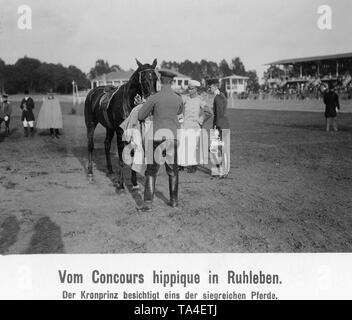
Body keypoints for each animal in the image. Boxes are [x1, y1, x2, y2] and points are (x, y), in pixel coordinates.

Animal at [84, 58, 157, 188]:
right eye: (143, 79)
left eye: (156, 78)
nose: (152, 99)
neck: (127, 103)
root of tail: (92, 93)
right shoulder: (120, 133)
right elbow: (121, 159)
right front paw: (121, 184)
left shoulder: (134, 131)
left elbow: (132, 155)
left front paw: (134, 183)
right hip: (90, 124)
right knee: (90, 145)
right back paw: (90, 173)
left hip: (109, 127)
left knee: (107, 144)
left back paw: (110, 170)